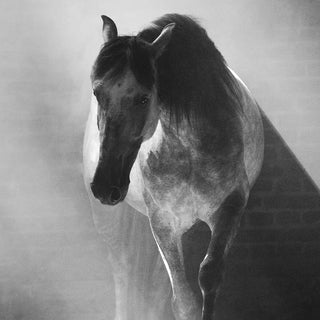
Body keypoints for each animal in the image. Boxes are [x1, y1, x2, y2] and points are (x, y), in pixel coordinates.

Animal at [82, 13, 262, 320]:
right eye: (97, 93)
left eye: (143, 98)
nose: (106, 186)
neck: (188, 149)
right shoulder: (163, 221)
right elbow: (184, 302)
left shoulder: (230, 207)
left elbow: (209, 275)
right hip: (110, 218)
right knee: (122, 266)